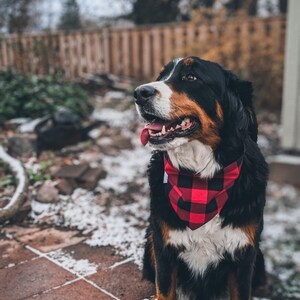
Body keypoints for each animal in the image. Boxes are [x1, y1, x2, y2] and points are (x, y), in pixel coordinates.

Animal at [134, 56, 268, 300]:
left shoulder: (244, 256)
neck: (201, 181)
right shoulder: (163, 250)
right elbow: (164, 291)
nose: (139, 93)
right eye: (161, 77)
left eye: (191, 77)